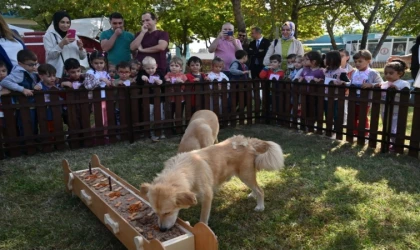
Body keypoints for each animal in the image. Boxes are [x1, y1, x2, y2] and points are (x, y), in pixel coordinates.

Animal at [141, 135, 286, 230]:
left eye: (167, 212)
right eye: (156, 213)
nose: (162, 230)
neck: (184, 170)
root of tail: (247, 141)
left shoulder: (207, 196)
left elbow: (203, 218)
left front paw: (202, 229)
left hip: (245, 175)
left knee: (260, 190)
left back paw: (260, 206)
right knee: (256, 188)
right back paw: (253, 194)